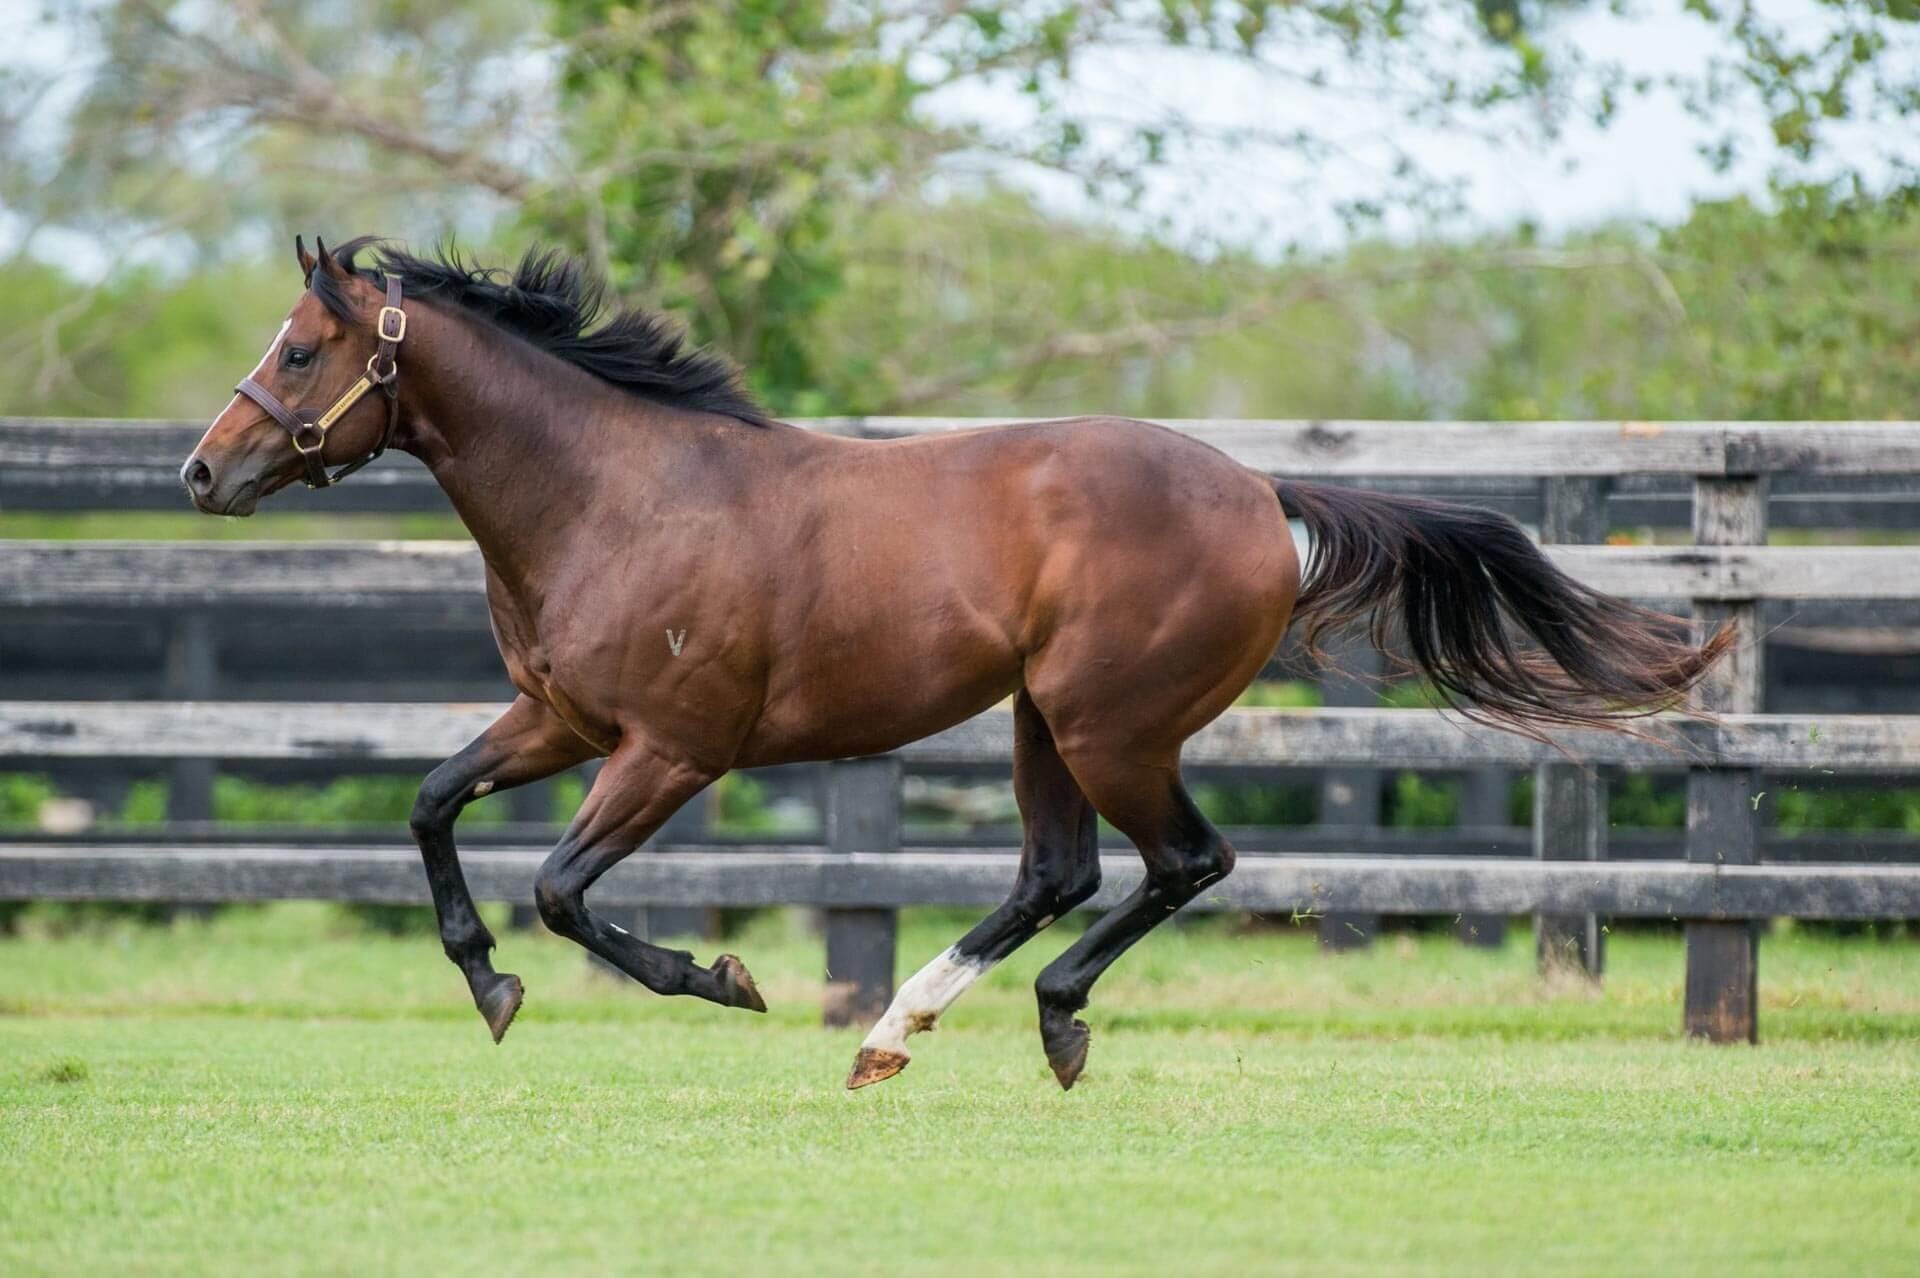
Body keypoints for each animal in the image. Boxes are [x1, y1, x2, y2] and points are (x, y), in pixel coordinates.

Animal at [187, 238, 1735, 1082]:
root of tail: (1264, 497)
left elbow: (566, 891)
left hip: (1109, 724)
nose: (204, 471)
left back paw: (1029, 1021)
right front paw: (489, 984)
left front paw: (723, 979)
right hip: (1040, 720)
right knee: (1061, 873)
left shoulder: (671, 750)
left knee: (1181, 863)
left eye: (307, 345)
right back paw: (896, 1028)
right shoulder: (558, 720)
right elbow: (430, 803)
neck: (617, 494)